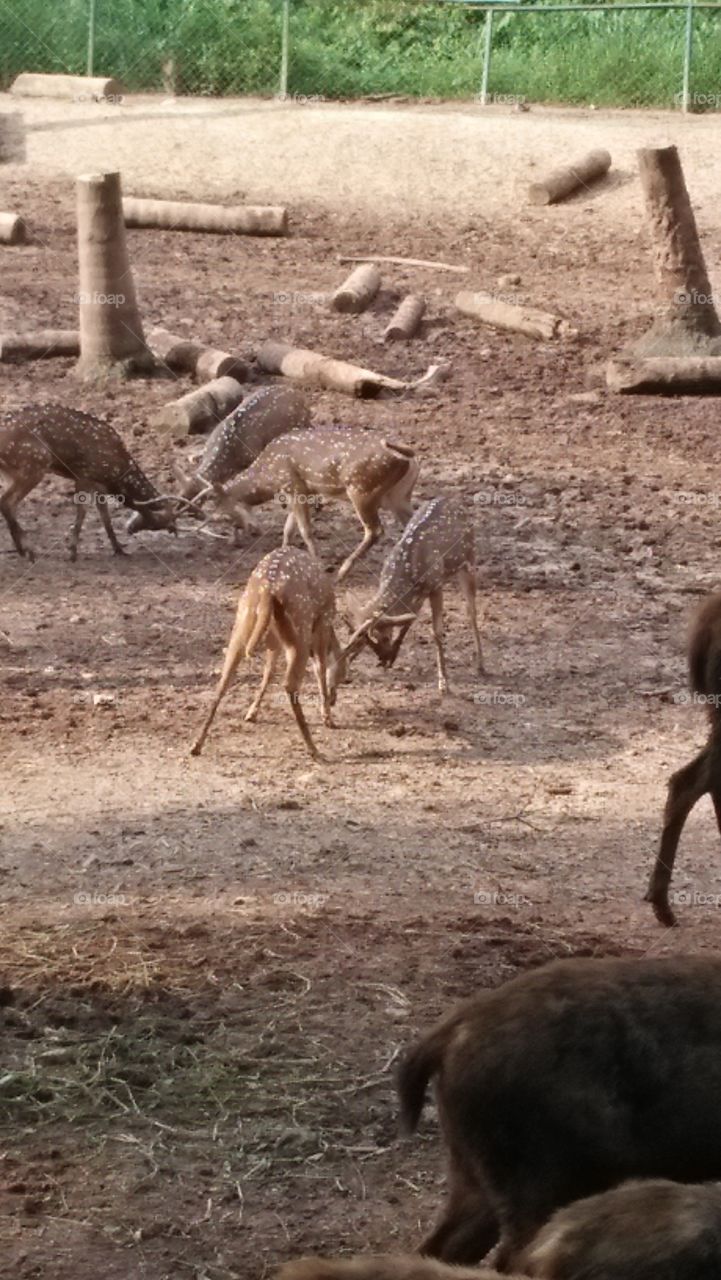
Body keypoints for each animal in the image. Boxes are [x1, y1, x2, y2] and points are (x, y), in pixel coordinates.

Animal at [0, 404, 180, 561]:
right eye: (156, 523)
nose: (130, 529)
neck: (116, 471)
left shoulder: (98, 484)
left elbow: (104, 515)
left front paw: (119, 549)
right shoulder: (84, 475)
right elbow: (82, 512)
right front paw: (72, 553)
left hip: (14, 472)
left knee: (8, 504)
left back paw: (21, 550)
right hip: (34, 464)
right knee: (7, 502)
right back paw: (29, 551)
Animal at [175, 384, 312, 503]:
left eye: (195, 494)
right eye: (181, 489)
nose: (179, 501)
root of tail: (300, 393)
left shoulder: (253, 452)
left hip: (302, 421)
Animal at [190, 547, 341, 762]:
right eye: (344, 674)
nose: (335, 699)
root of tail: (269, 589)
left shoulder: (274, 644)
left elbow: (268, 673)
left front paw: (252, 713)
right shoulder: (323, 624)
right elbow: (320, 668)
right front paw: (328, 718)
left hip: (242, 625)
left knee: (223, 682)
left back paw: (196, 745)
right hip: (301, 627)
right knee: (290, 683)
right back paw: (314, 749)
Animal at [197, 427, 419, 581]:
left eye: (225, 514)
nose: (233, 542)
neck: (267, 477)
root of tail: (408, 455)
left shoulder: (293, 486)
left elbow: (304, 530)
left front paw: (317, 564)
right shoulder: (299, 491)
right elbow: (288, 528)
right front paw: (282, 553)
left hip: (362, 488)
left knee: (375, 530)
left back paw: (342, 571)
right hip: (398, 495)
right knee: (412, 522)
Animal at [329, 495, 483, 697]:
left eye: (383, 638)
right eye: (355, 639)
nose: (383, 658)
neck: (407, 572)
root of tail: (456, 501)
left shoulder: (436, 584)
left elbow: (436, 632)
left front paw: (443, 683)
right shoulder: (418, 593)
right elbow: (409, 618)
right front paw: (391, 656)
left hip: (469, 560)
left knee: (471, 611)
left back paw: (481, 666)